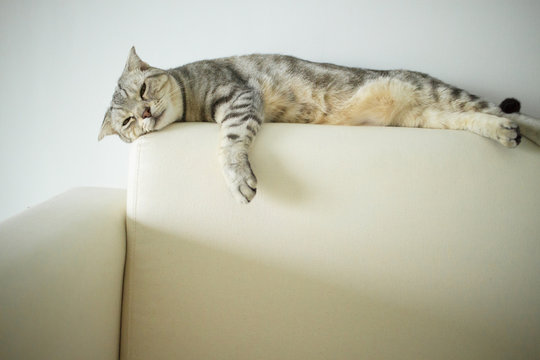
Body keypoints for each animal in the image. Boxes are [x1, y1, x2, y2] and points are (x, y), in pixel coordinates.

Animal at [99, 47, 540, 204]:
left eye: (144, 88)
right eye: (126, 121)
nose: (143, 114)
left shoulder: (239, 95)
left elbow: (229, 141)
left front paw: (237, 177)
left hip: (438, 92)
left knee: (510, 111)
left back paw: (528, 130)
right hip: (426, 116)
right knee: (480, 118)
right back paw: (504, 133)